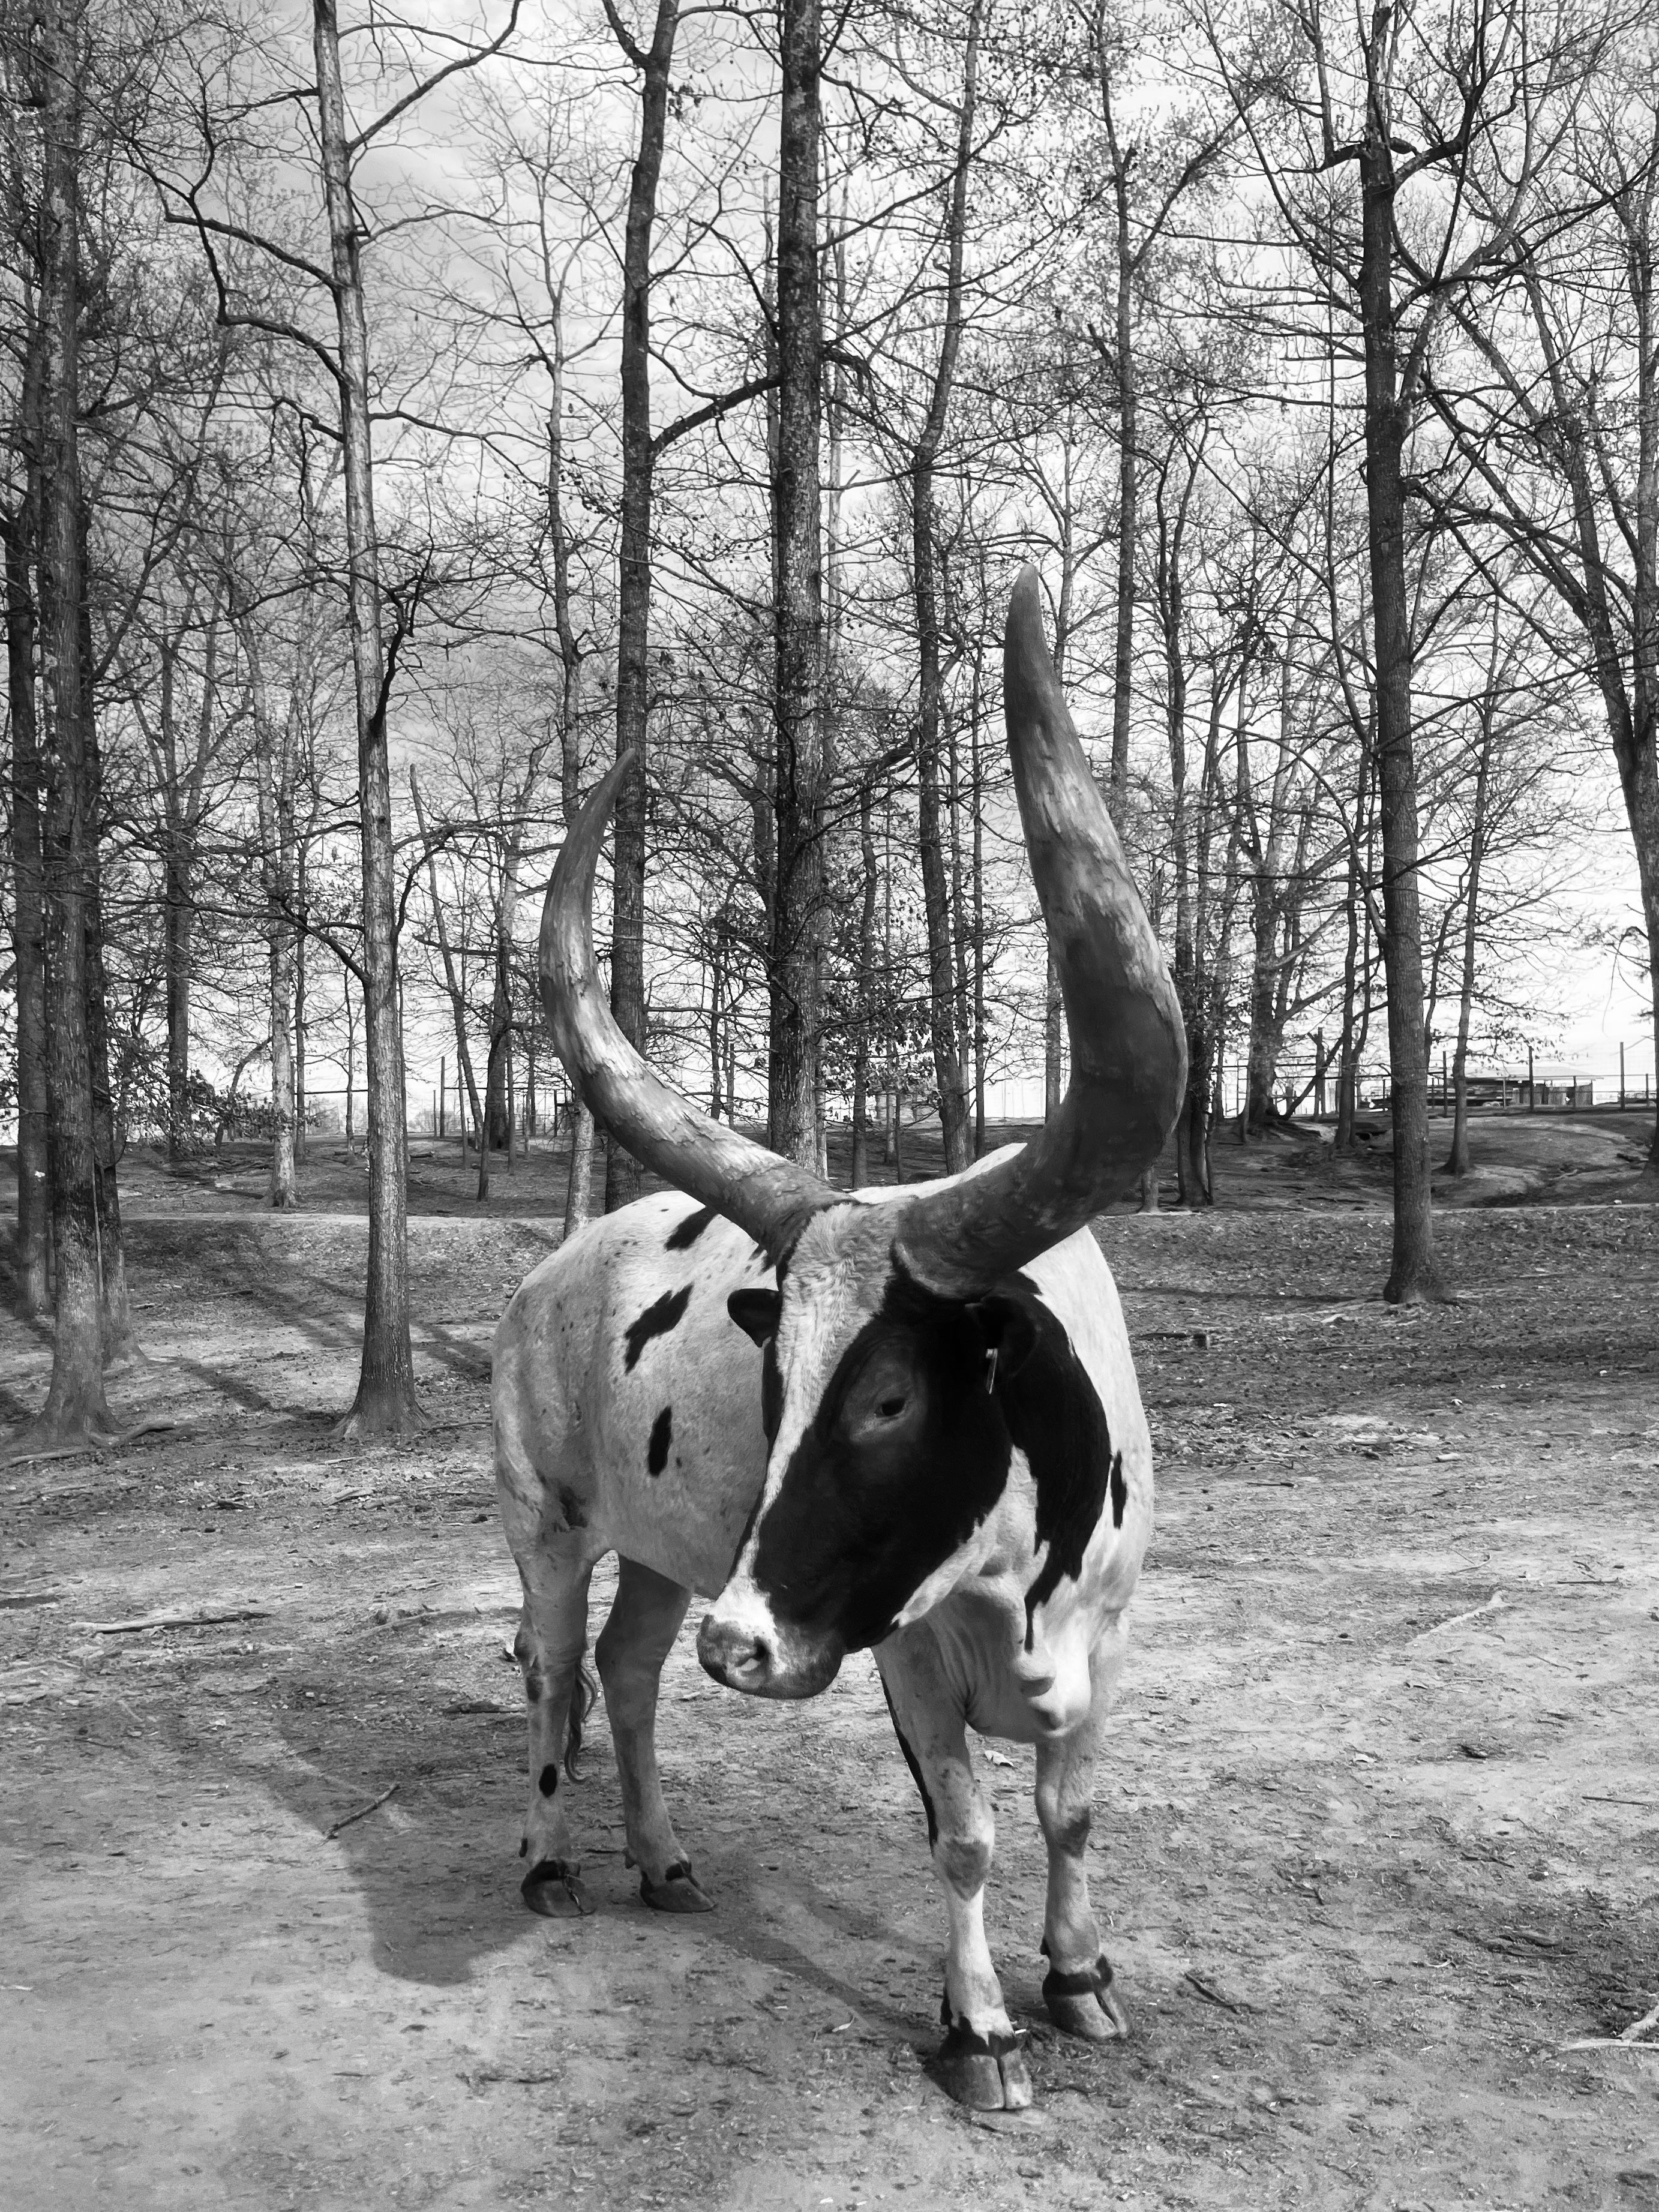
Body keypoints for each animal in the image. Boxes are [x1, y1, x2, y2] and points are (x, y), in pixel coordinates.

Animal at [493, 568, 1185, 2112]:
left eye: (886, 1399)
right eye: (774, 1378)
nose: (743, 1647)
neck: (1014, 1586)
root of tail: (544, 1278)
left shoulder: (1110, 1640)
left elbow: (1072, 1809)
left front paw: (1081, 1978)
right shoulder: (905, 1652)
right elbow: (966, 1831)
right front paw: (980, 2030)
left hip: (665, 1547)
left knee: (628, 1671)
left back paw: (666, 1858)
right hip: (549, 1522)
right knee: (557, 1673)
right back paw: (554, 1861)